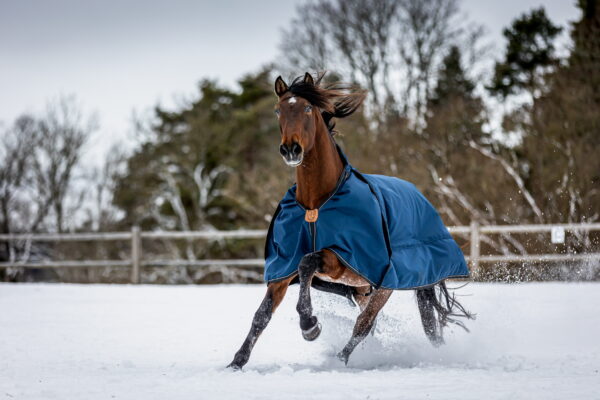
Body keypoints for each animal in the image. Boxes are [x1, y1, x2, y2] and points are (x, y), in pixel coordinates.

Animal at [227, 73, 472, 370]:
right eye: (278, 110)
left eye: (307, 108)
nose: (291, 149)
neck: (316, 204)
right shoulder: (283, 269)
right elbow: (261, 315)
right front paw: (236, 363)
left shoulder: (339, 260)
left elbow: (307, 262)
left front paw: (309, 325)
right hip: (363, 289)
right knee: (380, 324)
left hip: (387, 285)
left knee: (364, 324)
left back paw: (340, 359)